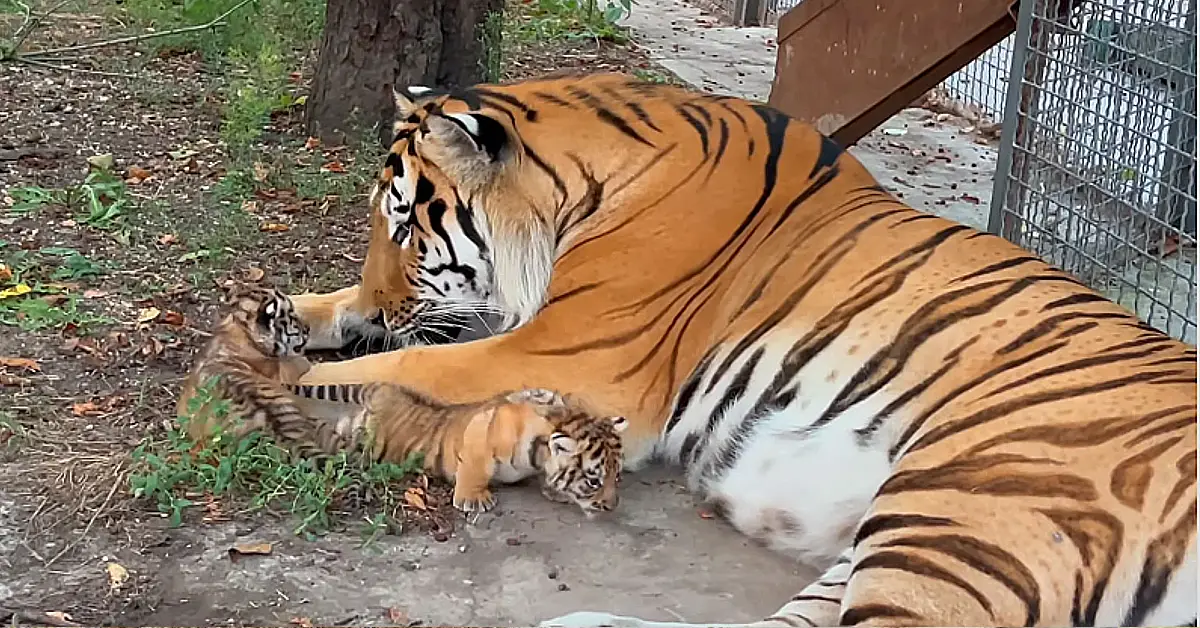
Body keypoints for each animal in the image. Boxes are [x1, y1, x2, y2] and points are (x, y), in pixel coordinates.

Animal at [285, 72, 1195, 624]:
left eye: (406, 225)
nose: (383, 299)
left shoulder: (569, 353)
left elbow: (390, 365)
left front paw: (278, 388)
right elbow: (341, 317)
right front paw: (290, 316)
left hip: (962, 509)